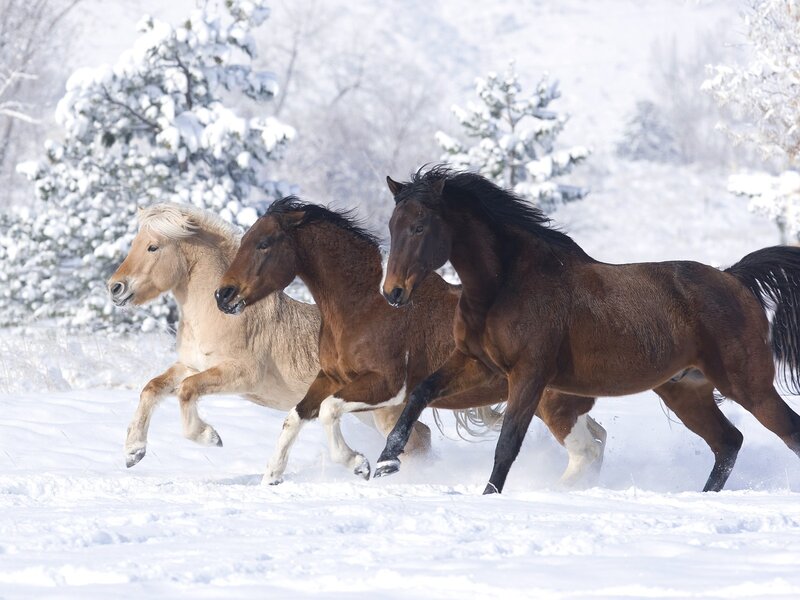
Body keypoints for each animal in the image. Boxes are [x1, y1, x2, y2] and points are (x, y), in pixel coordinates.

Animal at [107, 202, 431, 474]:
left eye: (153, 247)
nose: (115, 288)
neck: (219, 315)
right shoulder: (191, 365)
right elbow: (152, 388)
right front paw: (133, 452)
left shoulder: (241, 374)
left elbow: (186, 391)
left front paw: (210, 437)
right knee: (422, 436)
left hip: (383, 411)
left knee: (416, 441)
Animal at [215, 196, 607, 485]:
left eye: (264, 244)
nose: (223, 295)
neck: (364, 306)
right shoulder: (330, 377)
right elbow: (295, 417)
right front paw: (272, 476)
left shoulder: (387, 386)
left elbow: (328, 412)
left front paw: (360, 464)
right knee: (597, 440)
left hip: (553, 404)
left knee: (586, 451)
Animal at [375, 166, 800, 494]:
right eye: (393, 225)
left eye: (419, 226)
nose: (392, 292)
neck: (506, 284)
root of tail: (734, 278)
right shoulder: (476, 363)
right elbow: (419, 395)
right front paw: (384, 464)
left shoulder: (529, 375)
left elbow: (507, 444)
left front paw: (488, 497)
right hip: (687, 391)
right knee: (728, 443)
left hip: (748, 385)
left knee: (786, 432)